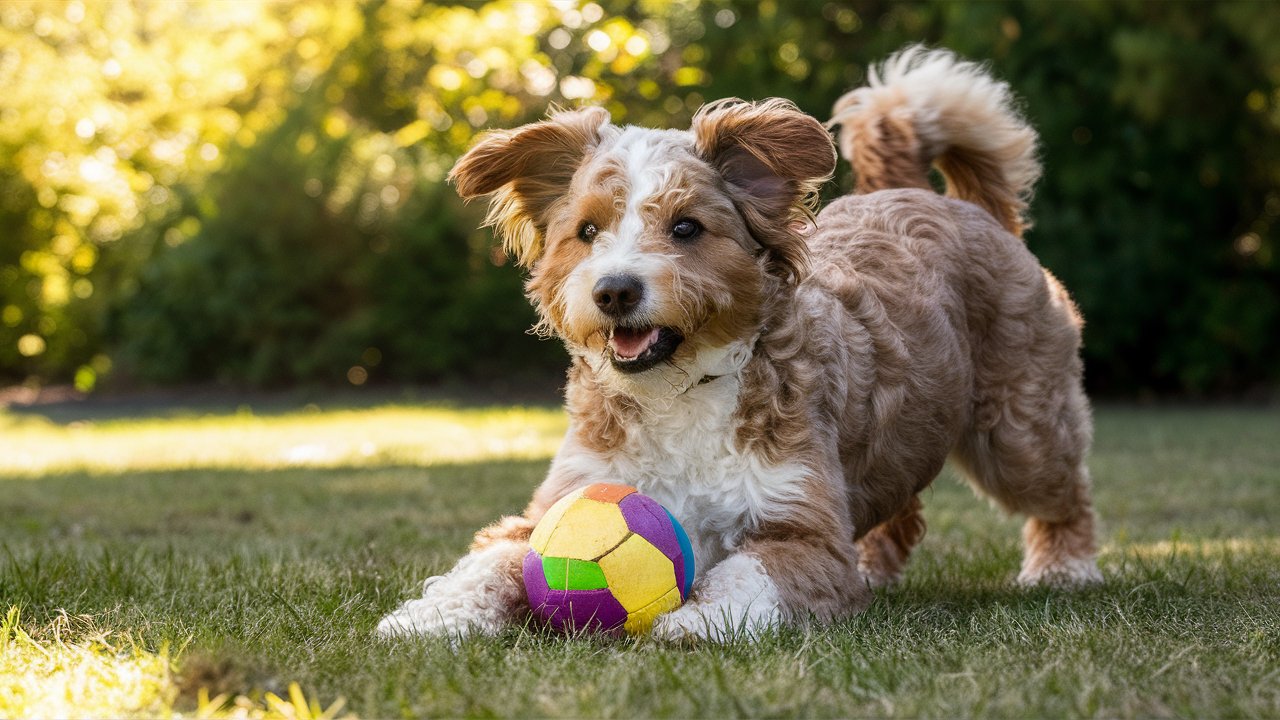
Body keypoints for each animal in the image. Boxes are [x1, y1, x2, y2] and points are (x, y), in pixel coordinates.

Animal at [376, 44, 1100, 638]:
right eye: (586, 231)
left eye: (686, 227)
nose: (614, 290)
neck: (679, 393)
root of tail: (964, 206)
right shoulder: (559, 505)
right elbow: (492, 561)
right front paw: (430, 618)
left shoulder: (804, 531)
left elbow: (747, 573)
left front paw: (697, 622)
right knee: (901, 511)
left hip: (1020, 429)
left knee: (1063, 492)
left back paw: (1065, 568)